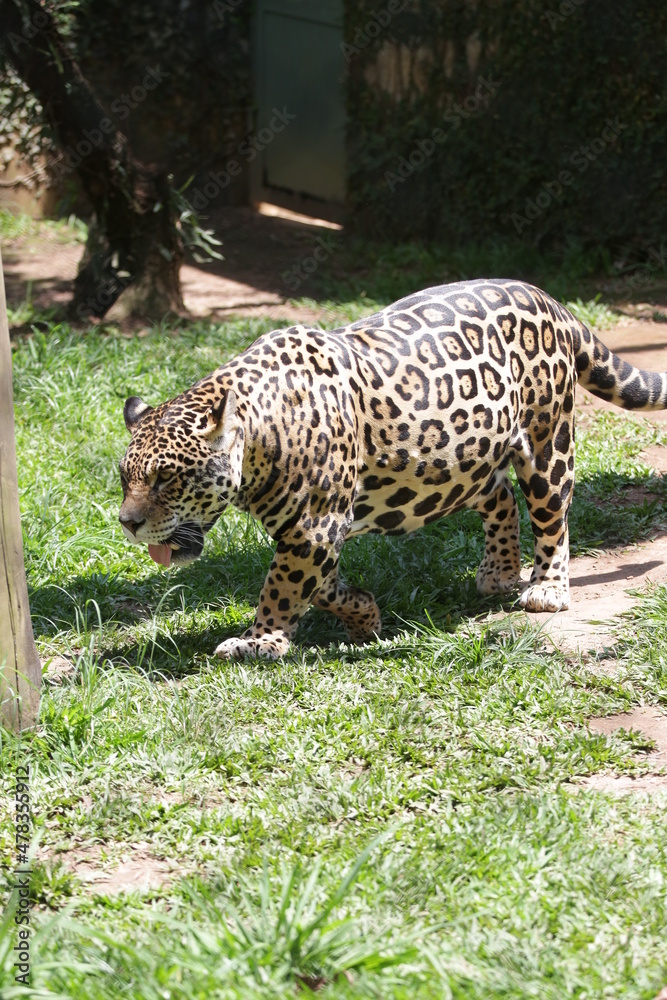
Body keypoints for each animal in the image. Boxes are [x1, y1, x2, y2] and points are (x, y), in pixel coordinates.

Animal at [119, 279, 667, 660]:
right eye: (126, 478)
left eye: (166, 478)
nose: (127, 523)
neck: (260, 436)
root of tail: (549, 298)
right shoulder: (315, 532)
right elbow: (320, 588)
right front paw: (365, 617)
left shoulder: (312, 526)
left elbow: (282, 587)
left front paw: (260, 641)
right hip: (461, 458)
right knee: (500, 496)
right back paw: (498, 572)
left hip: (545, 441)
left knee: (551, 513)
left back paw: (547, 586)